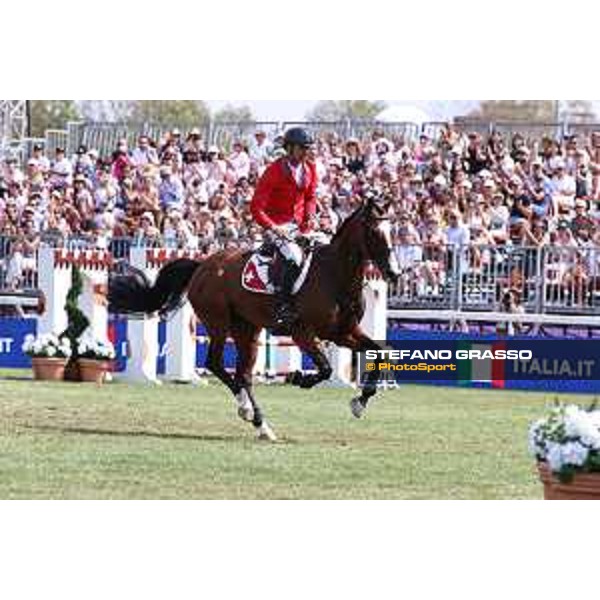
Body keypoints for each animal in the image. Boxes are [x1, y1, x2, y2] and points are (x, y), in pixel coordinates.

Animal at [109, 197, 398, 440]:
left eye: (392, 230)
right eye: (374, 231)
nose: (394, 273)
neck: (335, 276)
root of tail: (202, 265)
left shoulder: (342, 333)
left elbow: (380, 351)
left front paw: (360, 402)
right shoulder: (303, 333)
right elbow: (325, 368)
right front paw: (299, 378)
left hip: (247, 329)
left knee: (244, 374)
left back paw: (261, 424)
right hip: (218, 324)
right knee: (216, 364)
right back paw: (248, 411)